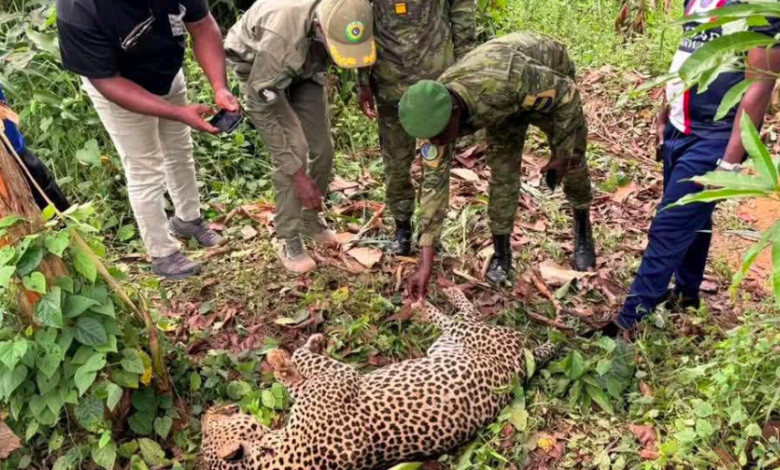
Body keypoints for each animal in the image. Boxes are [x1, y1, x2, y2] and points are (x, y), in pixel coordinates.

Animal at [200, 287, 558, 470]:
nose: (208, 412)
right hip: (452, 343)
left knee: (465, 316)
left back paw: (434, 296)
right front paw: (287, 360)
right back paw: (430, 301)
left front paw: (288, 358)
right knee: (459, 319)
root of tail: (522, 364)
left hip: (465, 338)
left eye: (225, 415)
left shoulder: (336, 377)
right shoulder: (337, 379)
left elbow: (302, 365)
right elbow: (302, 369)